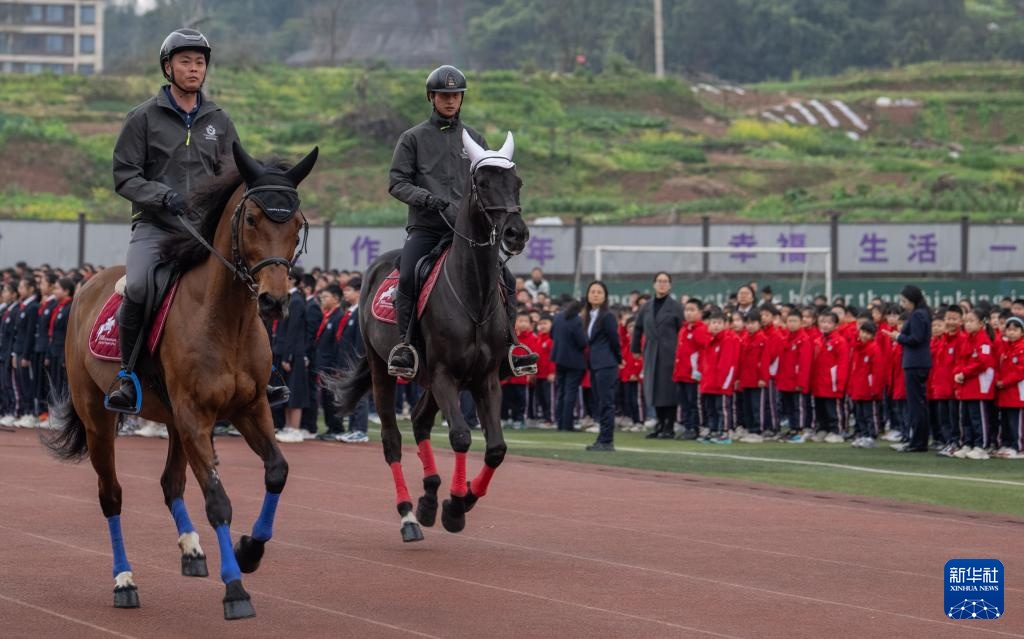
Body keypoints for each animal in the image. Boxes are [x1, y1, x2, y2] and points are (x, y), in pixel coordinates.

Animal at [42, 141, 318, 620]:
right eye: (252, 219)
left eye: (297, 224)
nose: (274, 300)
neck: (225, 319)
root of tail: (86, 287)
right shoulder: (195, 417)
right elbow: (218, 501)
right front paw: (235, 590)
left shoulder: (249, 410)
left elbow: (277, 471)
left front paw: (250, 550)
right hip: (99, 417)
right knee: (111, 495)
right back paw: (124, 580)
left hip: (173, 421)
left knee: (170, 483)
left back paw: (192, 550)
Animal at [330, 129, 528, 542]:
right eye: (484, 183)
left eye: (516, 182)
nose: (517, 233)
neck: (473, 293)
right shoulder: (444, 375)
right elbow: (461, 437)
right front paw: (454, 507)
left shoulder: (485, 378)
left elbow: (496, 448)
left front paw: (463, 499)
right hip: (384, 370)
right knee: (392, 441)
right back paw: (409, 513)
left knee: (421, 422)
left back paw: (428, 497)